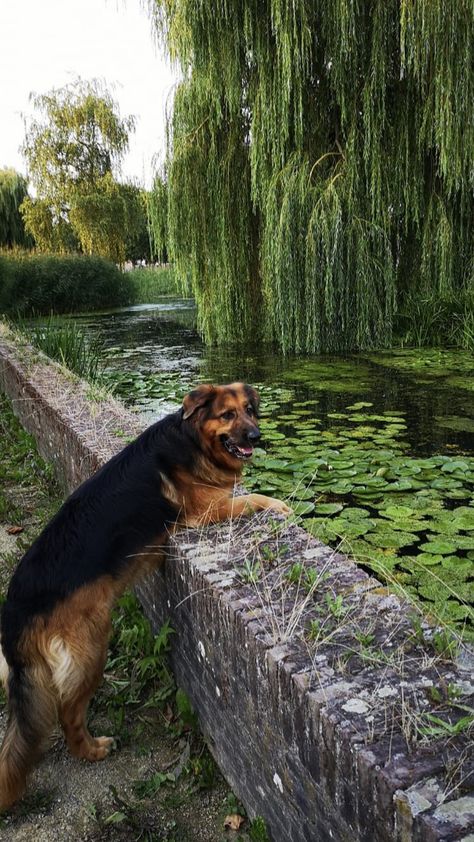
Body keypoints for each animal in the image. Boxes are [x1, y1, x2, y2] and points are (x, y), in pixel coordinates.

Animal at [0, 382, 288, 808]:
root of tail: (14, 612)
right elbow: (253, 499)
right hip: (90, 652)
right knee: (67, 712)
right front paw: (282, 505)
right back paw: (92, 750)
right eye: (228, 415)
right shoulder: (205, 510)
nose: (256, 436)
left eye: (250, 411)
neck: (193, 440)